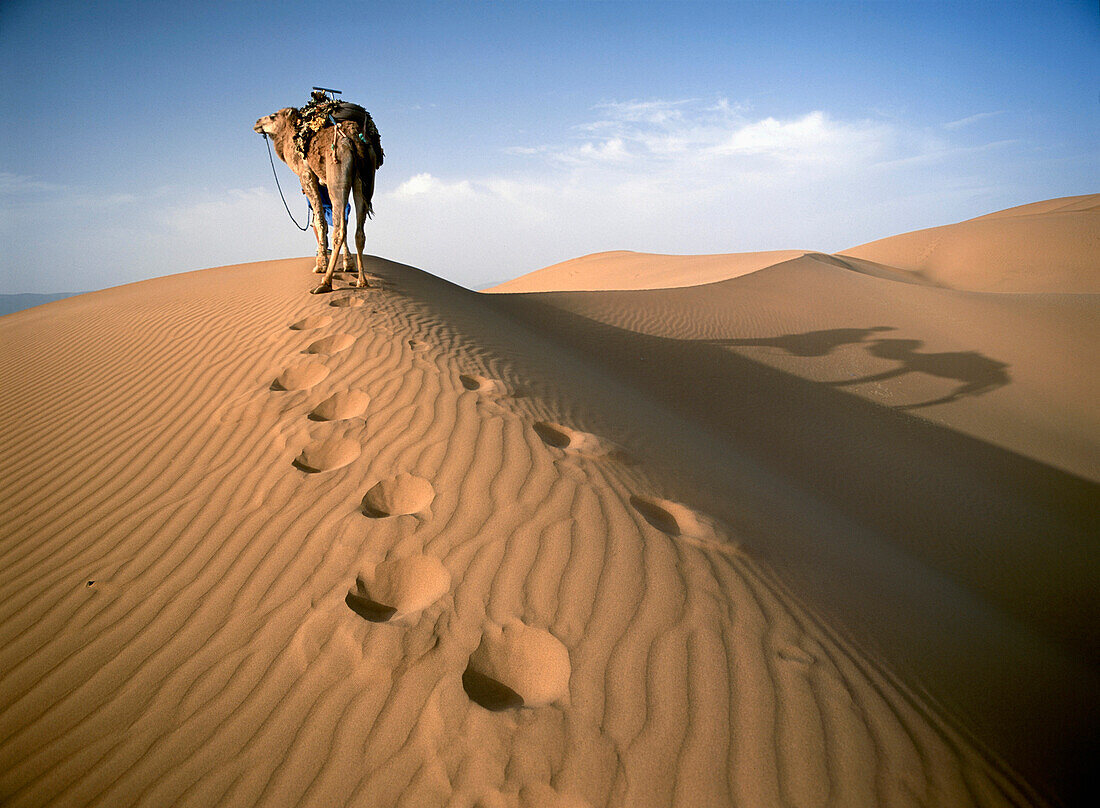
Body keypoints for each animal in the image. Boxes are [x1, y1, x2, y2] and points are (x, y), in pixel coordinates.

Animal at [253, 107, 378, 294]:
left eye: (273, 116)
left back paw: (325, 282)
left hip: (337, 170)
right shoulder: (322, 182)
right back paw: (362, 282)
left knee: (339, 229)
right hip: (363, 179)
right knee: (359, 231)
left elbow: (320, 221)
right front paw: (348, 264)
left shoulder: (307, 175)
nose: (257, 122)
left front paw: (320, 265)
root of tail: (355, 137)